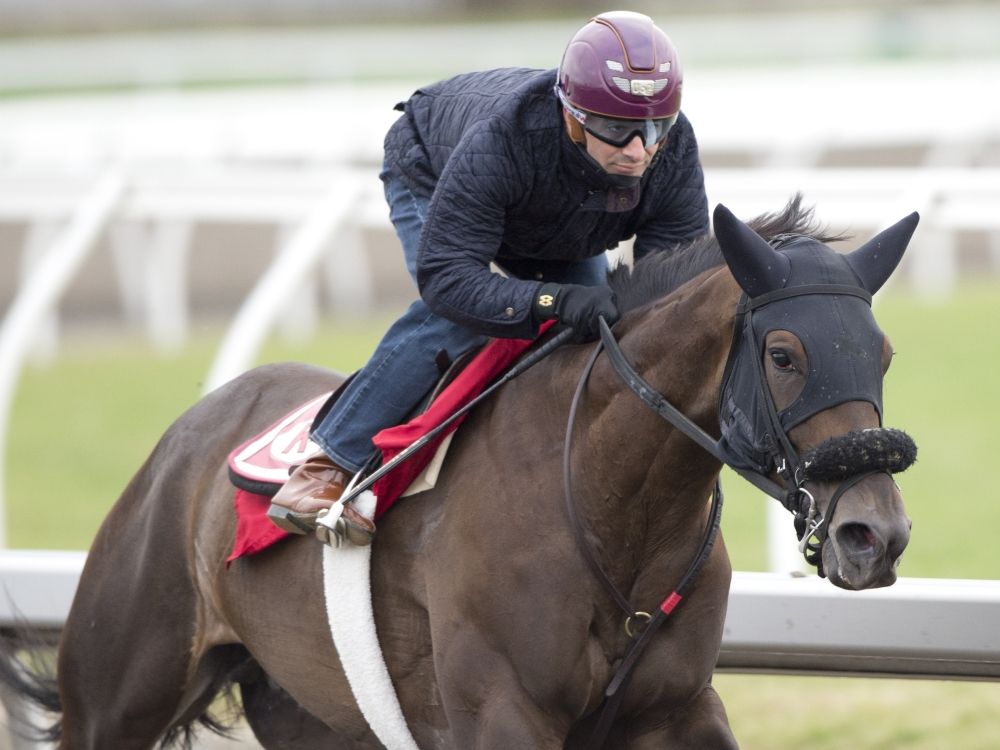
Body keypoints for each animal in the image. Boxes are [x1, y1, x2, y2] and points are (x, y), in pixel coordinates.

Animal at [0, 197, 918, 749]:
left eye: (882, 352)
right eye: (785, 354)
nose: (874, 534)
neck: (609, 506)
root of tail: (191, 431)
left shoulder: (679, 708)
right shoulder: (503, 714)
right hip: (114, 693)